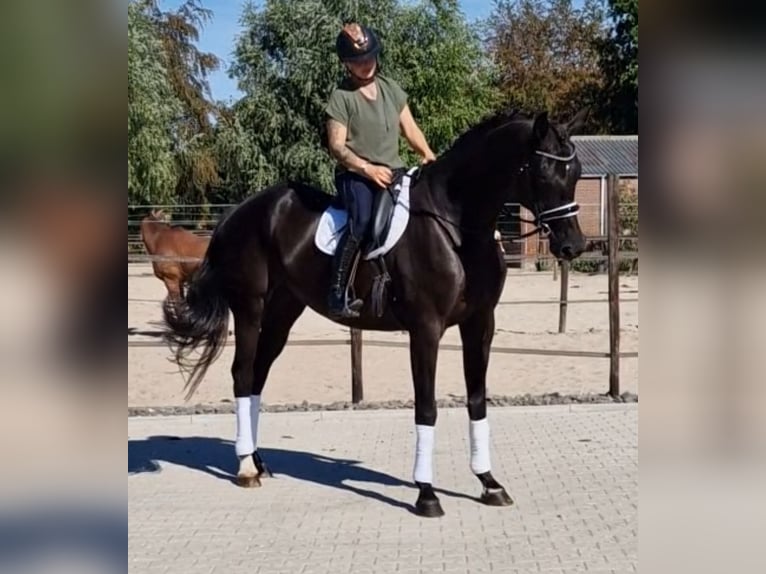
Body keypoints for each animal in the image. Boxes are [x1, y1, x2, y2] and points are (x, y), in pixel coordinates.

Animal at [162, 108, 588, 517]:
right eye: (543, 171)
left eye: (576, 172)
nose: (573, 245)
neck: (456, 228)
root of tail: (238, 212)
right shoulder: (426, 329)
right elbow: (427, 407)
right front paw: (426, 494)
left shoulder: (480, 324)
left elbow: (478, 400)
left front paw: (489, 484)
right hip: (250, 308)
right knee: (242, 374)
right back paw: (246, 468)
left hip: (284, 311)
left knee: (257, 376)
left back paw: (258, 460)